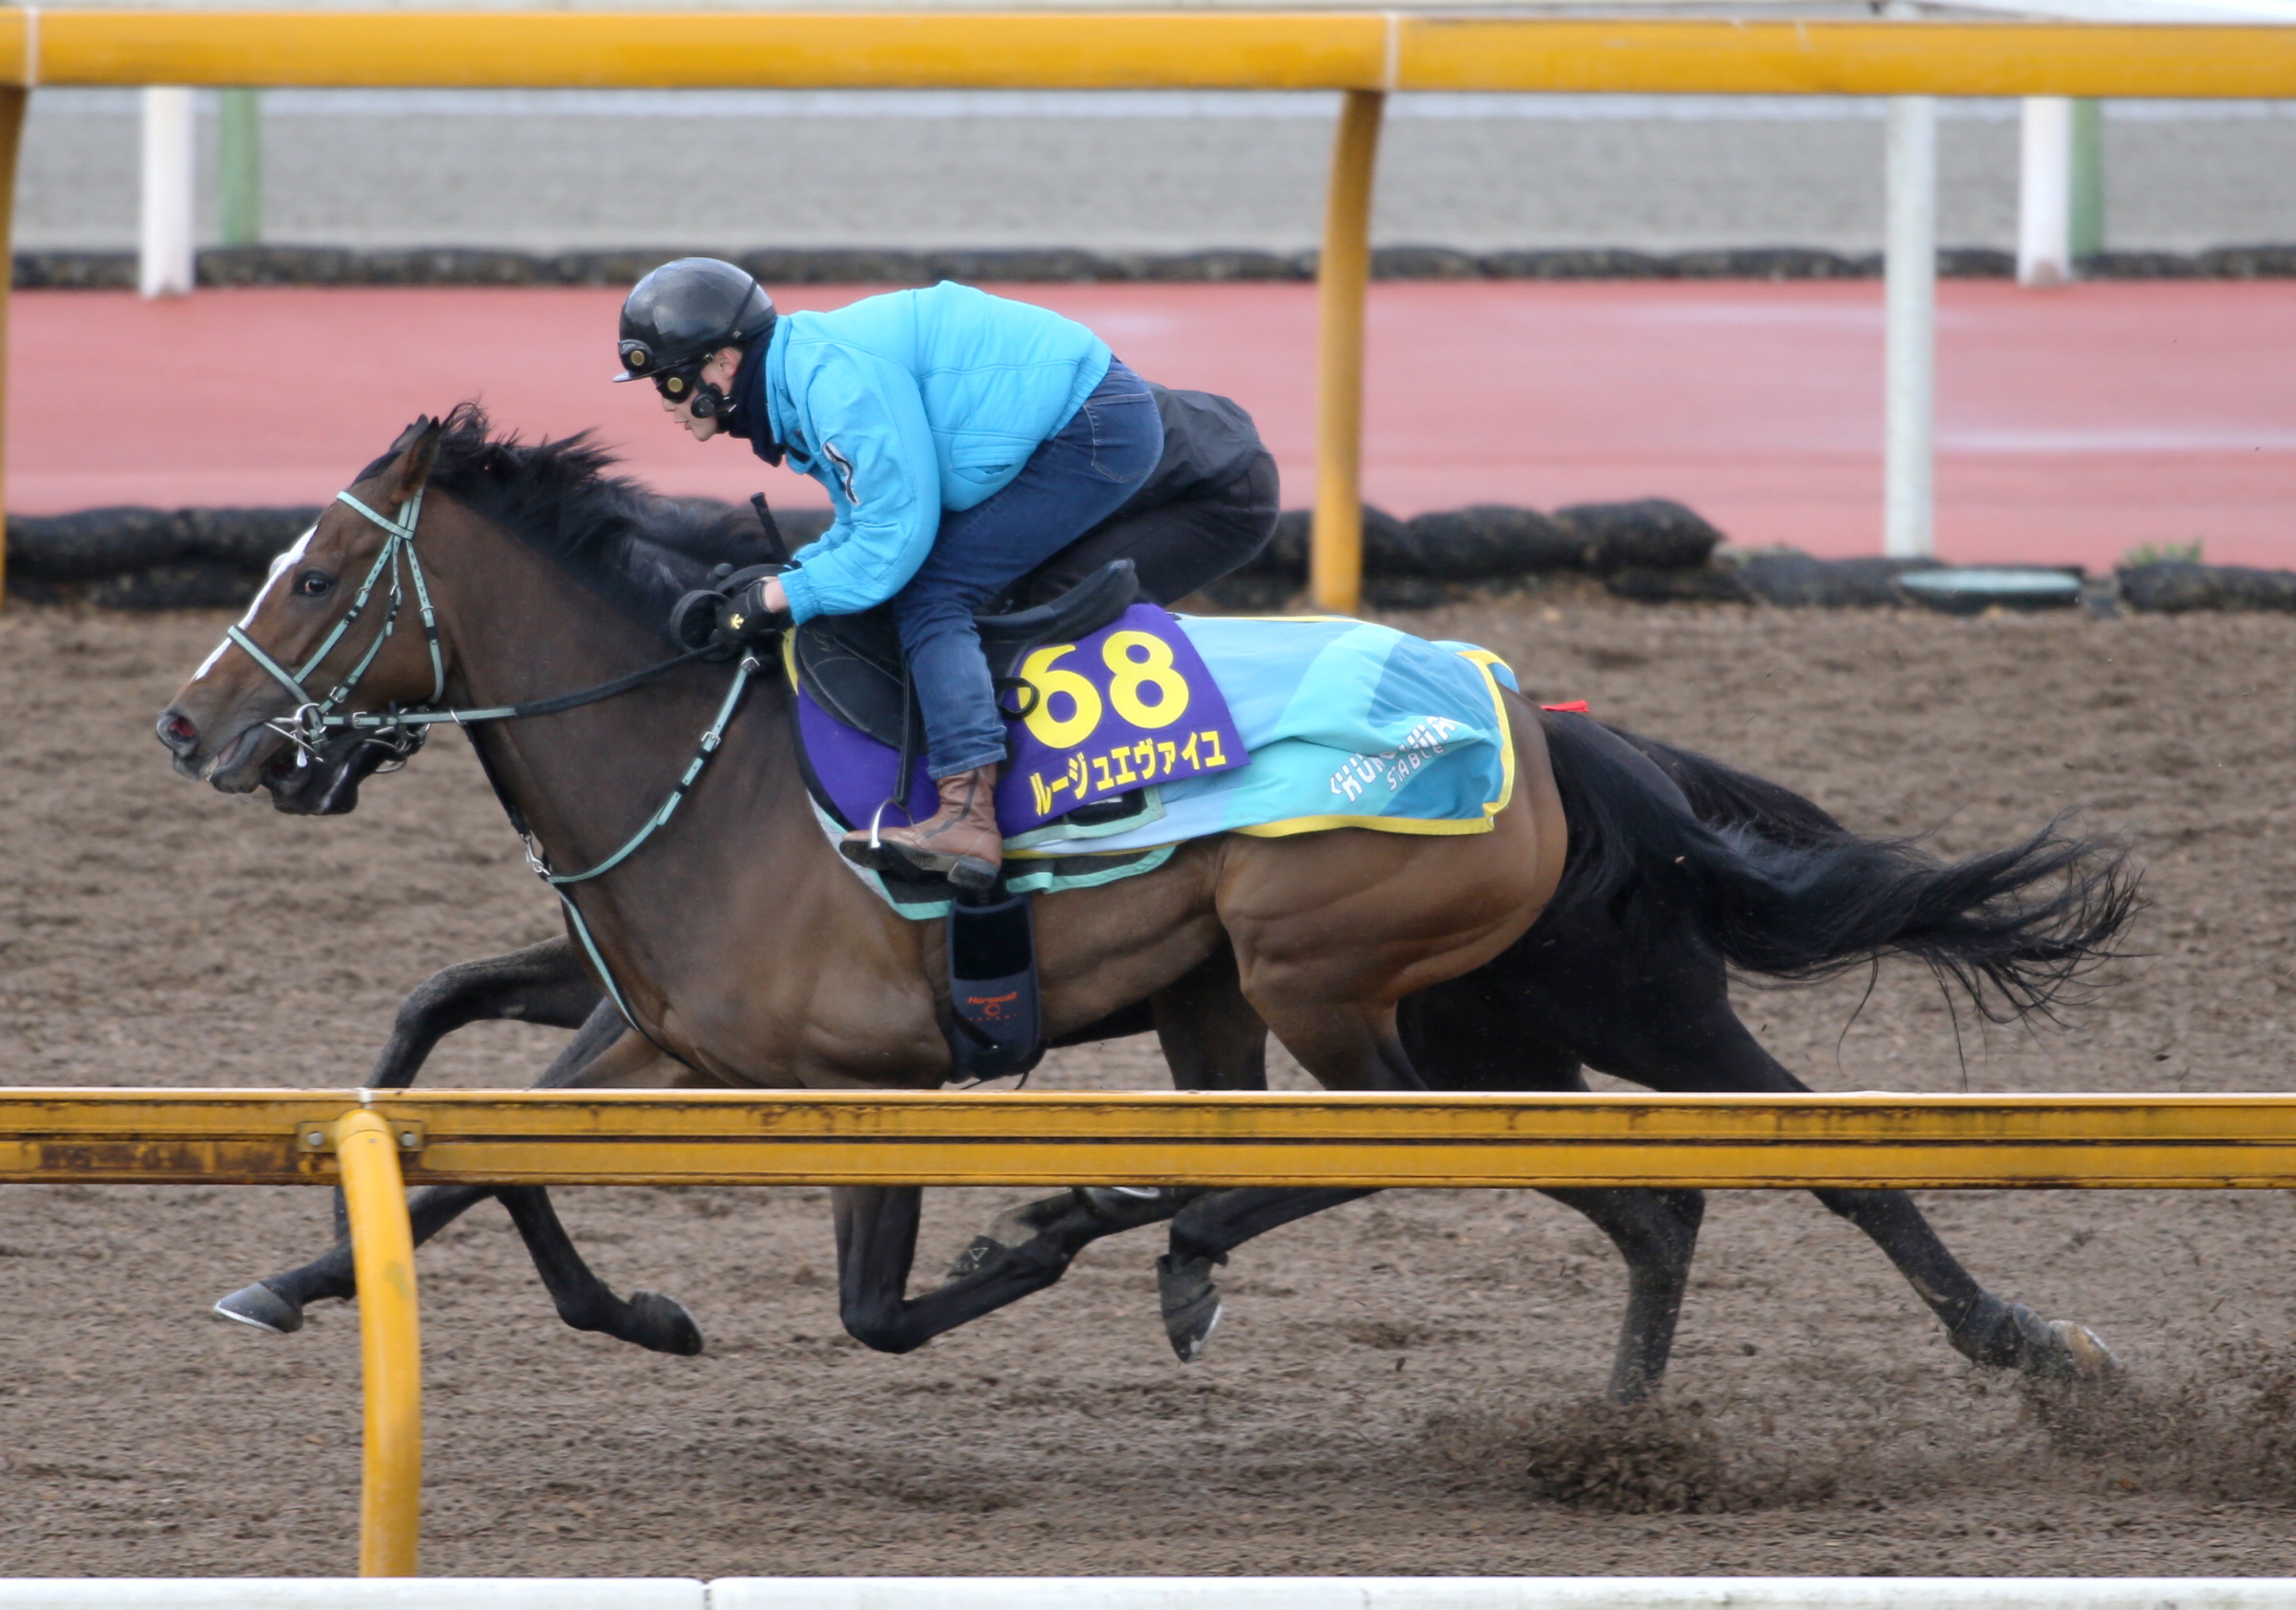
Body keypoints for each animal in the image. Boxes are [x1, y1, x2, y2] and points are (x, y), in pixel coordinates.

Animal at [161, 406, 2136, 1403]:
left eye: (318, 573)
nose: (189, 725)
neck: (696, 753)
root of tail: (1540, 721)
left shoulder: (857, 1075)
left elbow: (866, 1302)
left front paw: (1030, 1237)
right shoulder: (669, 1033)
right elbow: (464, 1123)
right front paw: (327, 1276)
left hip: (1353, 981)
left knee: (1635, 1156)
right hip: (1485, 1010)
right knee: (1669, 1188)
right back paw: (1657, 1404)